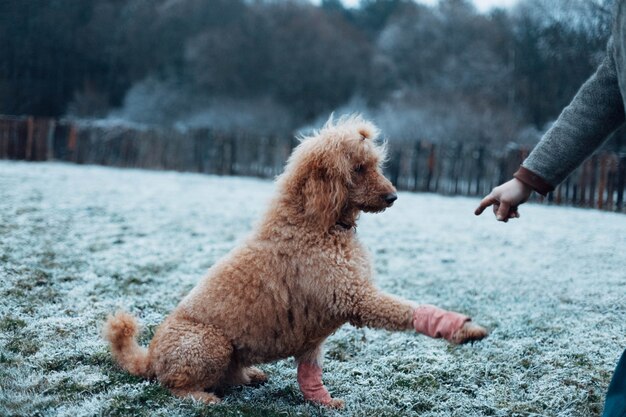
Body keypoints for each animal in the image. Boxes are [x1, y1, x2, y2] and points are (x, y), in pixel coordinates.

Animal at [102, 114, 486, 406]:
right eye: (358, 168)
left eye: (376, 166)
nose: (393, 197)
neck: (316, 224)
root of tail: (150, 356)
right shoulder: (354, 297)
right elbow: (405, 310)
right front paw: (458, 328)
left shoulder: (317, 332)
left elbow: (310, 373)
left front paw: (323, 402)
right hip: (207, 344)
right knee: (173, 384)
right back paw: (202, 397)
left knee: (226, 375)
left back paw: (249, 376)